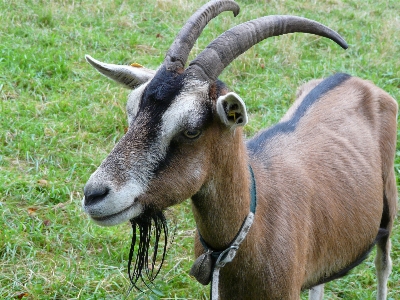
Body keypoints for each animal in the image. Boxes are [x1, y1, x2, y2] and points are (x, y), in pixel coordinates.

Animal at [82, 1, 396, 298]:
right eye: (132, 112)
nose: (94, 195)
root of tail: (354, 79)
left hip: (388, 203)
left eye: (191, 130)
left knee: (383, 262)